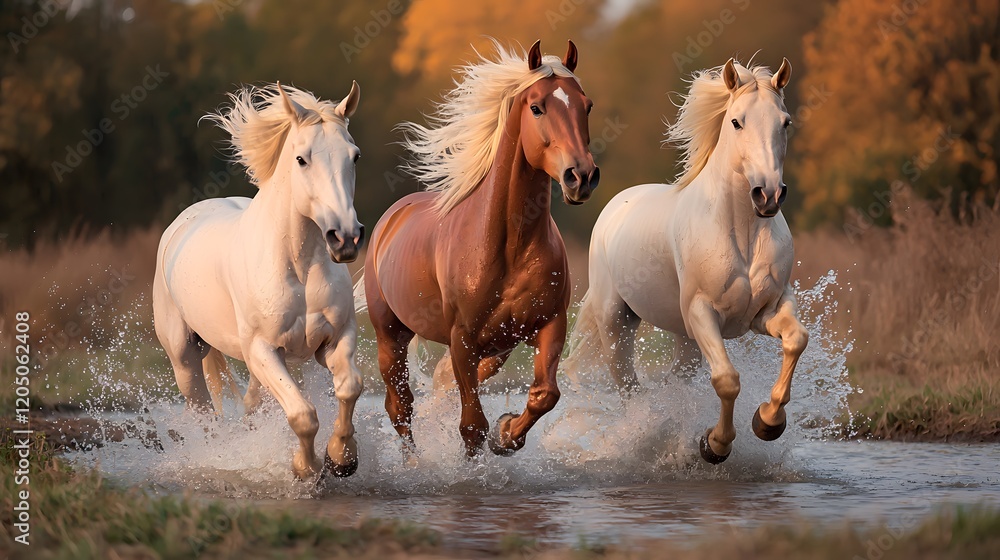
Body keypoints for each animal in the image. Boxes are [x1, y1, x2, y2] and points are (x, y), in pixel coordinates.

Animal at [153, 81, 365, 480]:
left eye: (355, 156)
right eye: (301, 159)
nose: (345, 238)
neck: (298, 269)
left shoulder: (334, 338)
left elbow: (349, 387)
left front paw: (342, 458)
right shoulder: (262, 350)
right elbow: (302, 415)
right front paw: (305, 468)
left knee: (251, 407)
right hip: (185, 359)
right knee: (205, 413)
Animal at [357, 40, 599, 458]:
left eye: (586, 105)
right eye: (537, 107)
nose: (580, 176)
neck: (509, 246)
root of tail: (392, 217)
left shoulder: (550, 326)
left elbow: (544, 395)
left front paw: (506, 434)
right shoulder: (462, 339)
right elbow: (471, 426)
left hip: (497, 348)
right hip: (390, 335)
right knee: (399, 405)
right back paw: (412, 463)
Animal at [566, 57, 808, 464]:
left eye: (785, 122)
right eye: (736, 121)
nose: (769, 194)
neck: (741, 233)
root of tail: (617, 205)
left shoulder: (766, 310)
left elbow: (796, 340)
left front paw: (768, 422)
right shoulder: (702, 313)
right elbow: (727, 380)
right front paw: (714, 445)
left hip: (686, 340)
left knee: (671, 382)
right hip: (617, 323)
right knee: (629, 388)